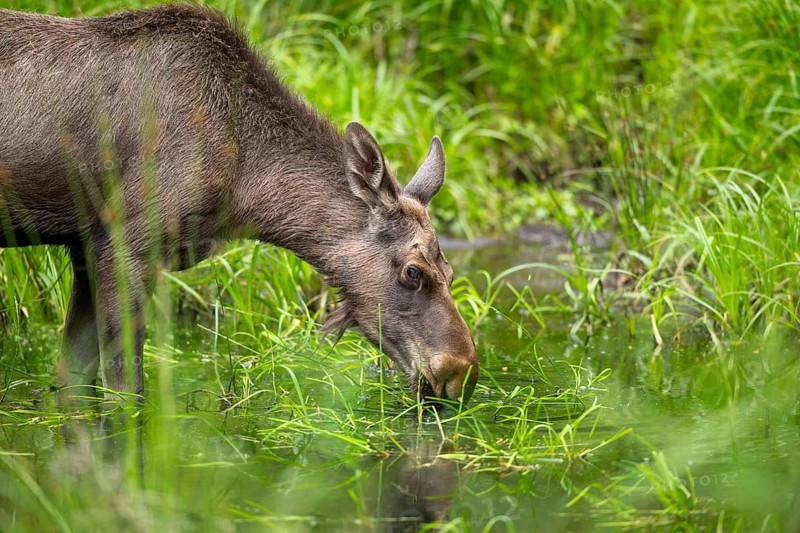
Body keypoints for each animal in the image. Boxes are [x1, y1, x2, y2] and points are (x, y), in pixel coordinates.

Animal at [0, 4, 479, 410]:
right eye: (413, 272)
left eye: (451, 270)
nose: (461, 373)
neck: (242, 189)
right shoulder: (123, 244)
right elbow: (125, 395)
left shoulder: (83, 246)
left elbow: (72, 384)